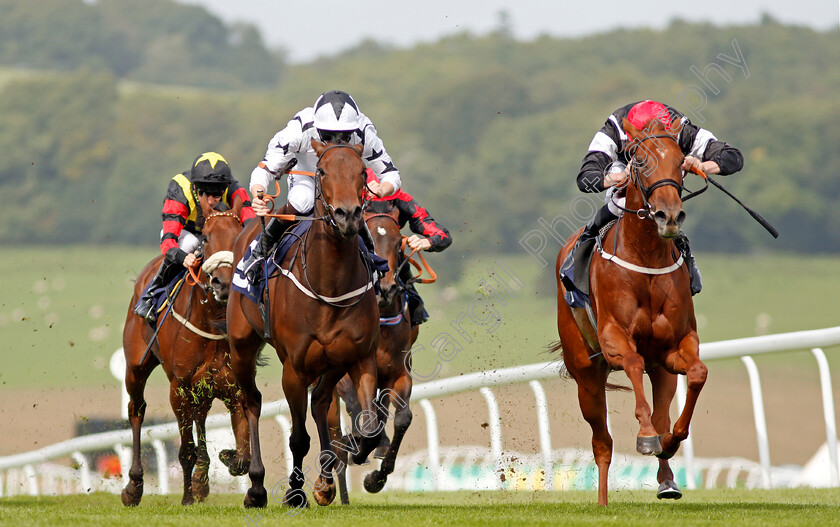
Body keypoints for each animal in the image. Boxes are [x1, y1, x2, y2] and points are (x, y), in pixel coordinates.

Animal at [120, 198, 249, 508]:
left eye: (238, 235)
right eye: (206, 238)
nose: (223, 284)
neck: (211, 319)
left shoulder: (232, 386)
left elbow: (242, 454)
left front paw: (226, 458)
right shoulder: (178, 387)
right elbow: (185, 449)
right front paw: (187, 497)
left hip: (203, 387)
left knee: (200, 415)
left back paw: (202, 480)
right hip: (135, 367)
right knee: (136, 410)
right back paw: (134, 486)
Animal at [228, 139, 382, 508]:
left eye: (362, 171)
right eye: (322, 170)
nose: (347, 214)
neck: (330, 285)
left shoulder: (360, 357)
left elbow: (370, 427)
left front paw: (354, 453)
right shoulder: (294, 369)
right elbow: (298, 438)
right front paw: (294, 492)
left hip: (332, 362)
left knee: (322, 401)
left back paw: (326, 480)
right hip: (241, 346)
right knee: (252, 401)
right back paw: (256, 487)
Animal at [330, 205, 418, 504]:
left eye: (399, 241)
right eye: (364, 238)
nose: (386, 288)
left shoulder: (399, 372)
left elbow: (402, 418)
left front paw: (377, 478)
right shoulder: (344, 374)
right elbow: (357, 410)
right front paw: (358, 446)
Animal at [556, 116, 704, 508]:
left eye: (682, 162)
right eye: (638, 161)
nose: (669, 215)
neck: (646, 257)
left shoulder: (673, 348)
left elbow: (697, 374)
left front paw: (668, 441)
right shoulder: (613, 341)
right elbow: (633, 363)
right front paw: (646, 435)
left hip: (662, 372)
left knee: (663, 408)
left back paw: (667, 479)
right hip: (586, 377)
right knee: (601, 442)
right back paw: (602, 501)